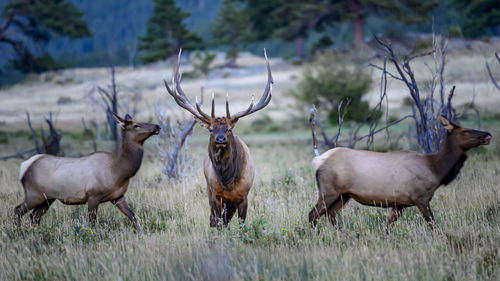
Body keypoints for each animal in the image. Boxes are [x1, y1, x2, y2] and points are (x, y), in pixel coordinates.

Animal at [15, 112, 160, 231]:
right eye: (136, 125)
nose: (157, 126)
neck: (119, 170)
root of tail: (24, 167)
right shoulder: (93, 195)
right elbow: (92, 224)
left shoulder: (118, 196)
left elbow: (133, 216)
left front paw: (141, 234)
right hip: (34, 194)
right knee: (18, 210)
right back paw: (18, 232)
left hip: (47, 199)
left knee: (34, 216)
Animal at [165, 49, 274, 226]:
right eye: (210, 129)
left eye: (229, 129)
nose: (220, 139)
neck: (228, 181)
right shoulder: (215, 194)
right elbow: (218, 224)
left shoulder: (244, 196)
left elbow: (242, 225)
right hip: (209, 192)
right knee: (216, 220)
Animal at [308, 115, 492, 233]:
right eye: (465, 131)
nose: (487, 134)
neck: (435, 169)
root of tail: (318, 161)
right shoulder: (420, 197)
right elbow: (433, 224)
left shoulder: (400, 204)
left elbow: (388, 227)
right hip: (329, 191)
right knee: (313, 215)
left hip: (344, 195)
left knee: (330, 215)